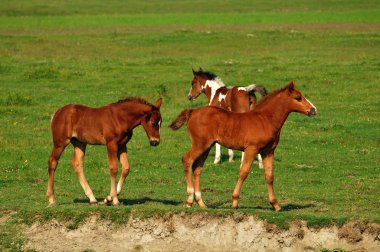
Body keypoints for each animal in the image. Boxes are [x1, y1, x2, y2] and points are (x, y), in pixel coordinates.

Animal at [171, 81, 316, 211]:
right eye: (298, 98)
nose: (313, 110)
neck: (265, 119)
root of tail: (193, 111)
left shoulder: (268, 151)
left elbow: (269, 176)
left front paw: (275, 204)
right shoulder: (251, 149)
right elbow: (244, 172)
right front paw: (235, 202)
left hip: (207, 146)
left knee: (197, 168)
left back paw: (201, 203)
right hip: (200, 144)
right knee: (187, 160)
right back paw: (189, 200)